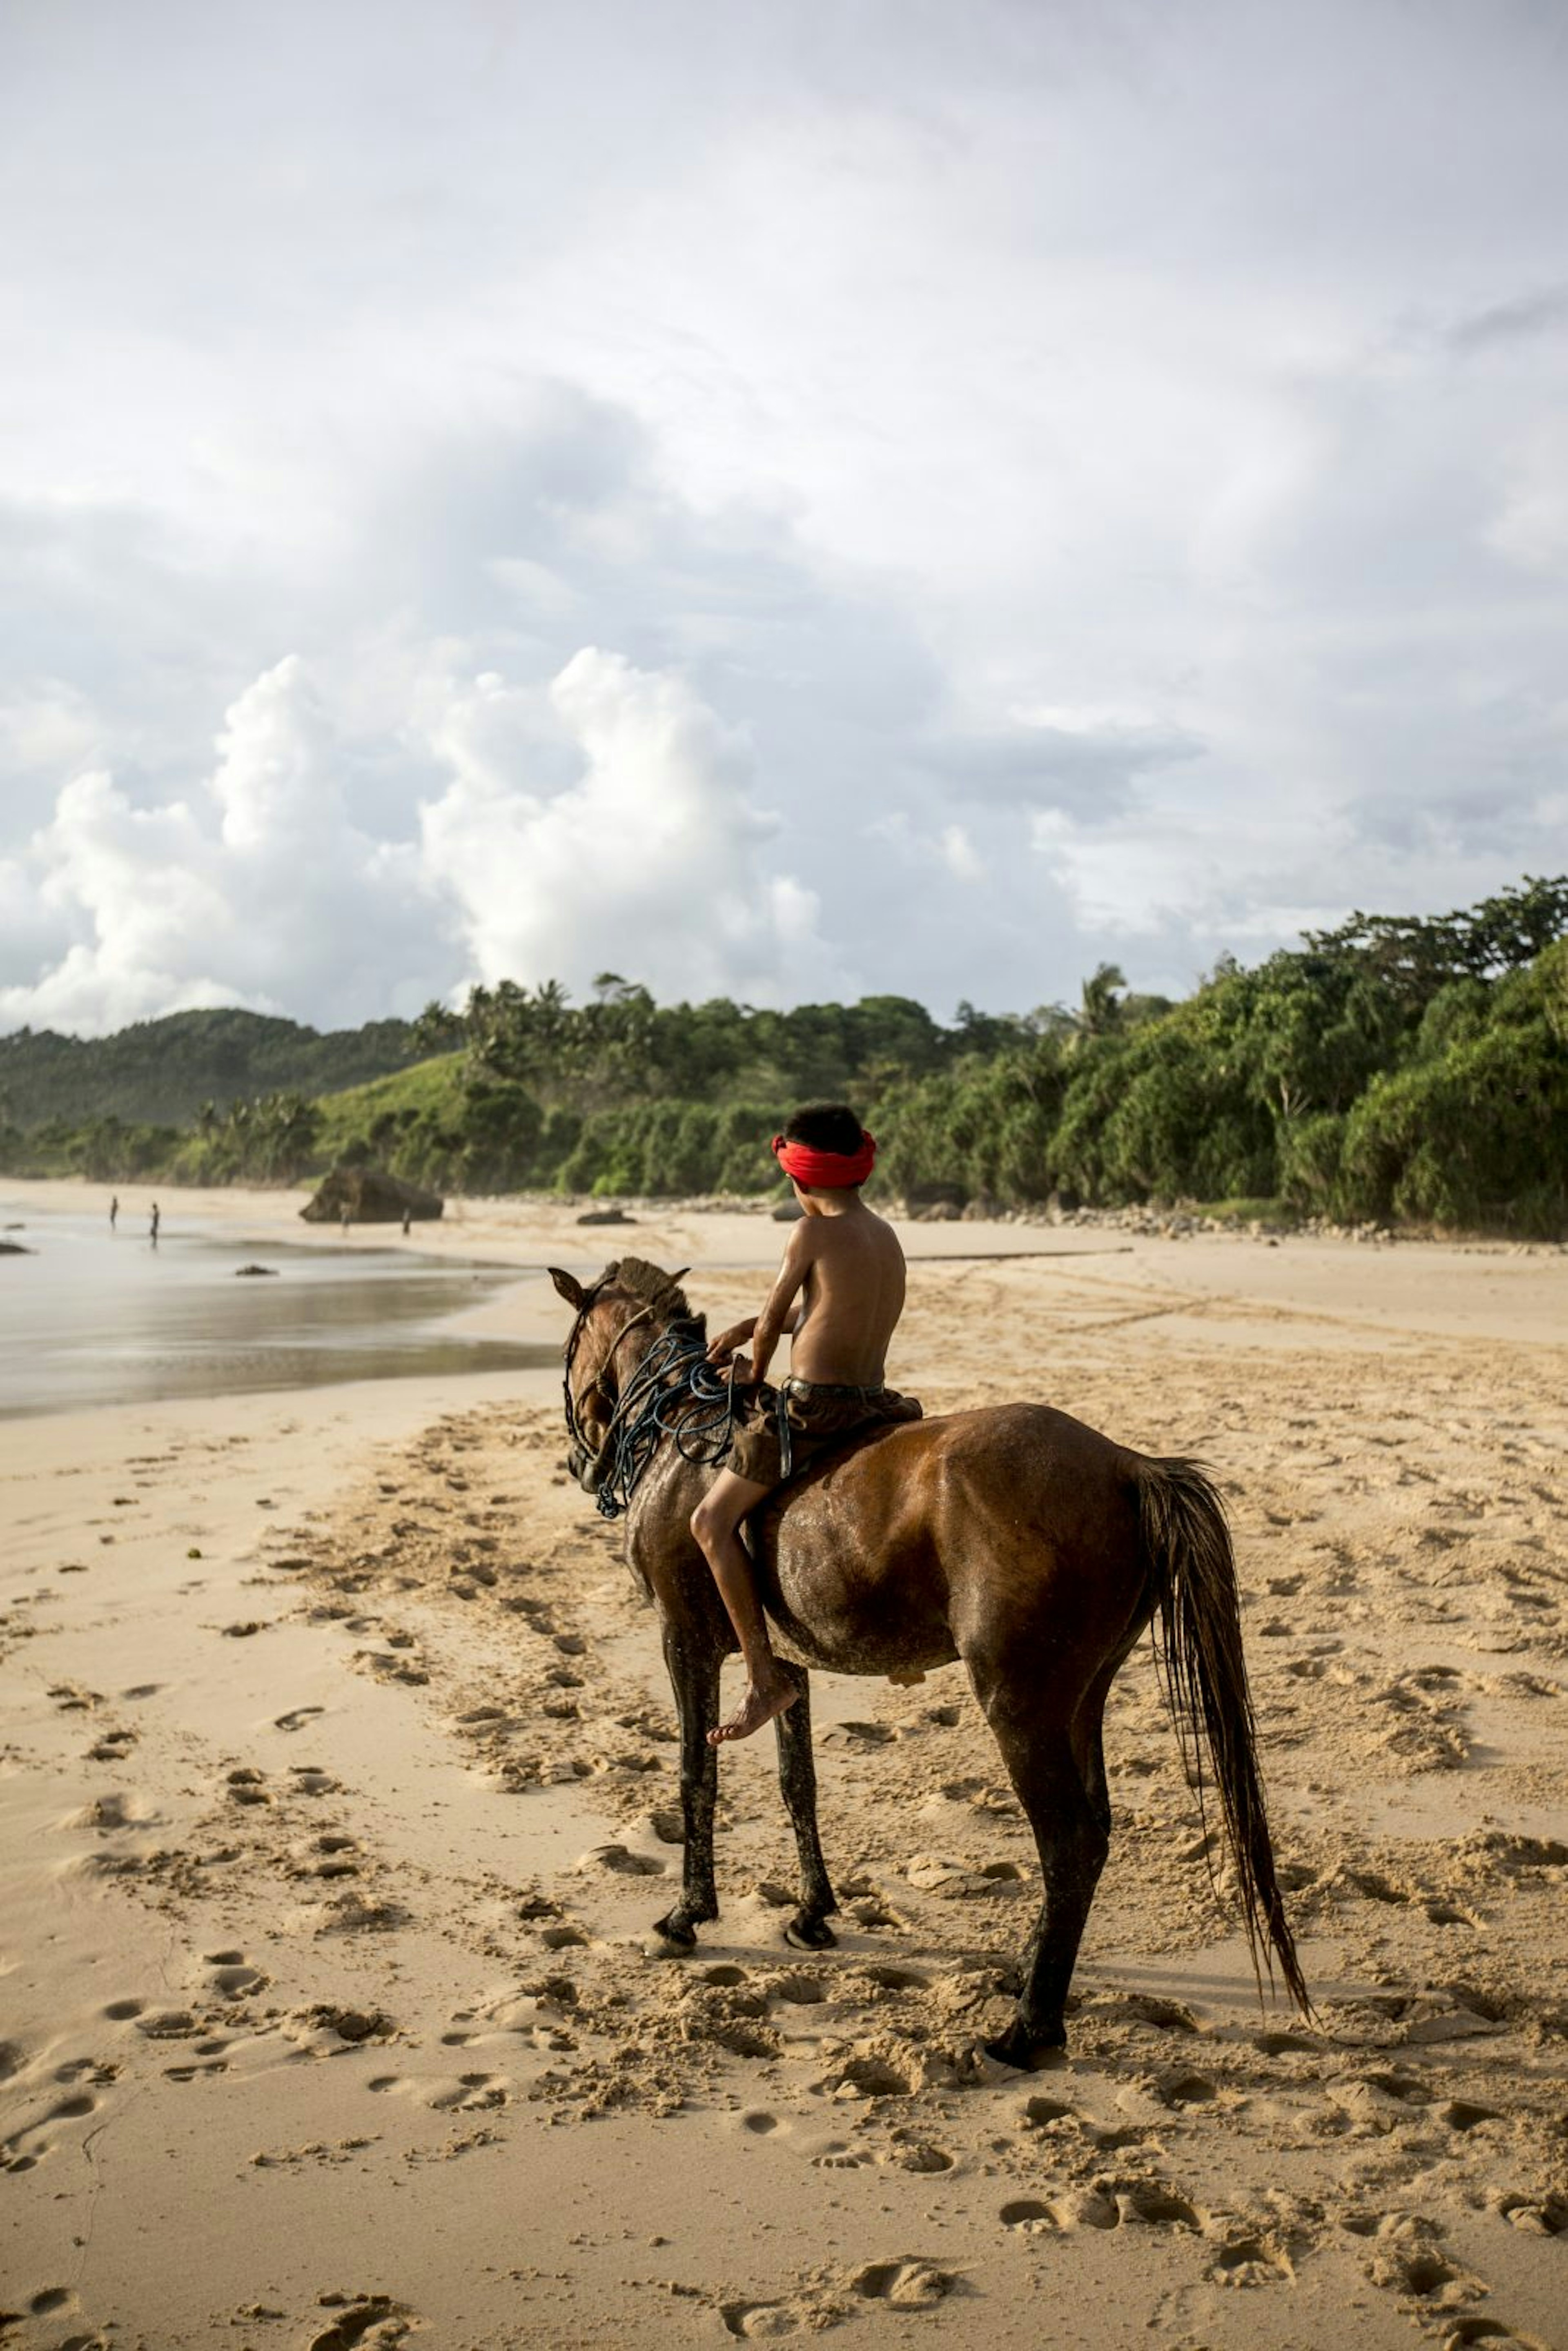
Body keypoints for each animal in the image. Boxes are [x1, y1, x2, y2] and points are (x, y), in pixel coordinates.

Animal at [552, 1260, 1316, 2069]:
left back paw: (1031, 2026)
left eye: (570, 1346)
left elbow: (697, 1775)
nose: (579, 1460)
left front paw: (687, 1914)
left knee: (1069, 1841)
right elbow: (799, 1785)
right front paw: (813, 1911)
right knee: (1094, 1831)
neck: (680, 1427)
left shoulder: (684, 1642)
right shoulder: (789, 1665)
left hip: (1020, 1704)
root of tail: (1128, 1465)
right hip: (1082, 1698)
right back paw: (1031, 1973)